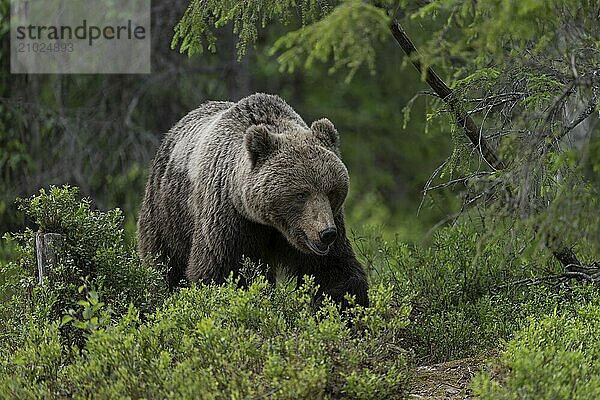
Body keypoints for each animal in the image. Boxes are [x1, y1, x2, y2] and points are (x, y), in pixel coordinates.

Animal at [138, 93, 368, 306]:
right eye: (301, 194)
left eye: (331, 191)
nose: (326, 233)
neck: (270, 222)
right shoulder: (229, 218)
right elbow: (221, 271)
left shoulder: (325, 226)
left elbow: (335, 271)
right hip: (167, 211)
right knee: (165, 263)